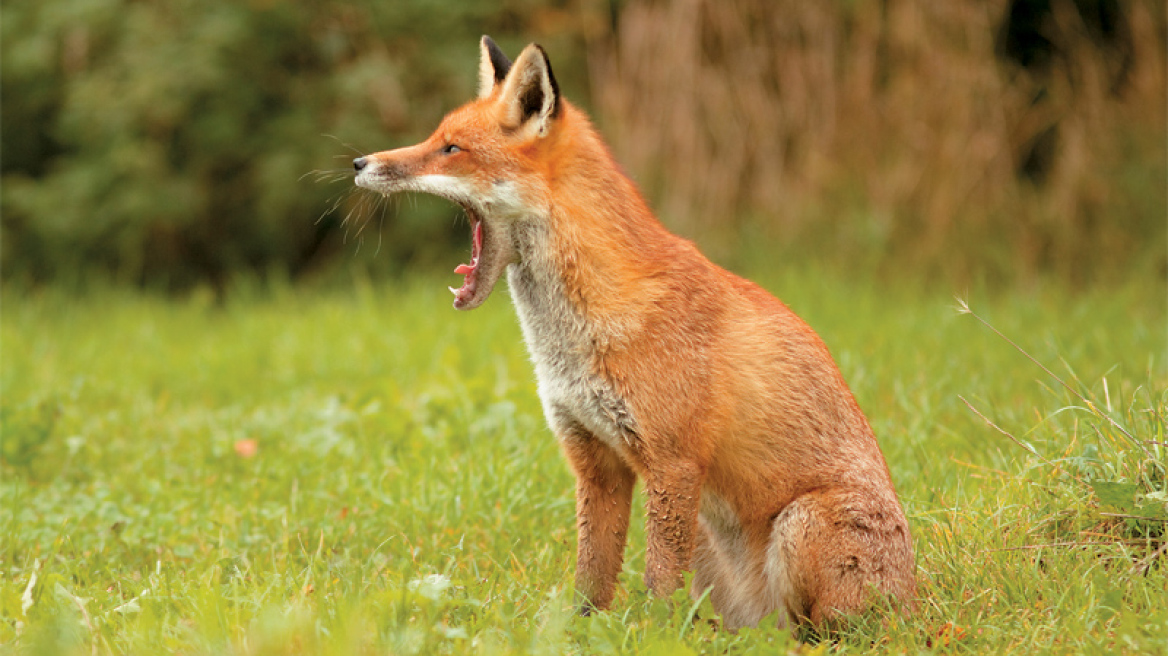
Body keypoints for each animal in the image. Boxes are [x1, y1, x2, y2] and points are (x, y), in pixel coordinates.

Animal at [350, 37, 915, 630]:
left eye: (451, 149)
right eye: (436, 137)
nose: (360, 163)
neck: (574, 337)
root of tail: (916, 605)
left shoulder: (673, 462)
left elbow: (658, 584)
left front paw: (652, 637)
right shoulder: (595, 459)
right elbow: (592, 576)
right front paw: (578, 634)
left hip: (799, 525)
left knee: (828, 633)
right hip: (710, 545)